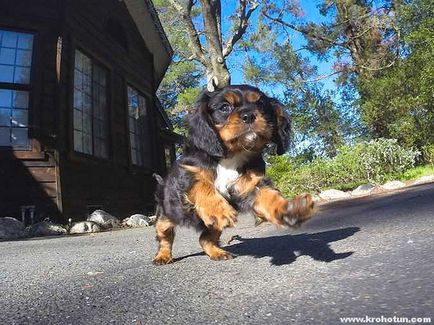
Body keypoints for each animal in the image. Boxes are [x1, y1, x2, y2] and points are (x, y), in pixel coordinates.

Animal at [153, 83, 316, 264]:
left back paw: (217, 253)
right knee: (165, 236)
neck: (232, 155)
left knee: (205, 239)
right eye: (225, 107)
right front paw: (217, 210)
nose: (249, 115)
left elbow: (268, 195)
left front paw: (290, 209)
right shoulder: (188, 173)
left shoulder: (250, 184)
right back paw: (163, 256)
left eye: (261, 105)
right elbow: (202, 185)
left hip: (213, 227)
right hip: (165, 216)